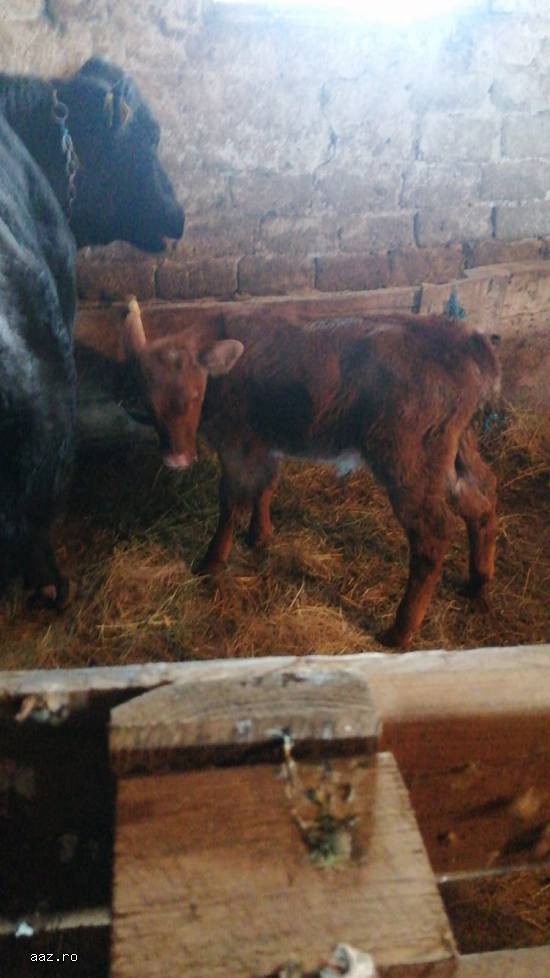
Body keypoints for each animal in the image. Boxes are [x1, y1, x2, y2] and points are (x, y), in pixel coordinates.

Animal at [123, 298, 500, 650]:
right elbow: (266, 485)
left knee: (433, 535)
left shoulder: (236, 444)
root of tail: (466, 340)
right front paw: (259, 536)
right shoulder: (264, 442)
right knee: (480, 499)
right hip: (457, 450)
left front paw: (211, 562)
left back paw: (399, 631)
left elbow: (231, 502)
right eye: (149, 402)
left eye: (195, 393)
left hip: (409, 463)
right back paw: (478, 583)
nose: (177, 459)